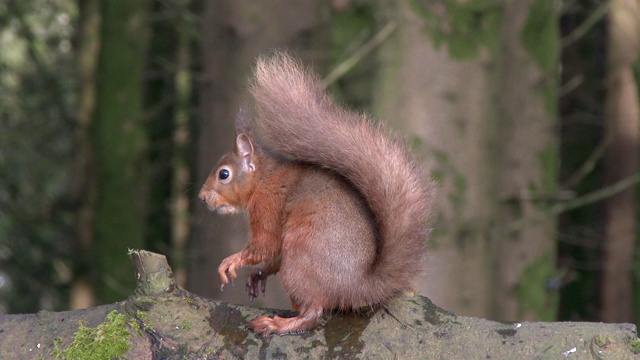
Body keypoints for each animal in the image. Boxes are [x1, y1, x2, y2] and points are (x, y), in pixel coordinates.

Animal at [199, 52, 436, 334]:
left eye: (224, 174)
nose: (202, 197)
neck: (263, 178)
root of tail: (357, 288)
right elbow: (272, 255)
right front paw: (258, 274)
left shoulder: (267, 205)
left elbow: (265, 245)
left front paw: (232, 260)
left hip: (300, 257)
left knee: (313, 313)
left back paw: (278, 325)